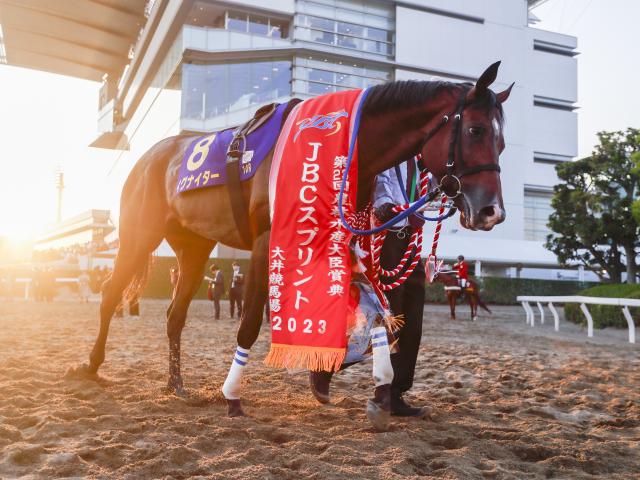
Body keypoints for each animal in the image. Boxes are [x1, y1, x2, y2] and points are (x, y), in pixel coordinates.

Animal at [77, 62, 512, 416]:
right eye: (474, 130)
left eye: (502, 142)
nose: (492, 211)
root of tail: (149, 158)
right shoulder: (264, 242)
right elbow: (251, 321)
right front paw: (232, 395)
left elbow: (367, 311)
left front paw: (362, 378)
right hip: (139, 235)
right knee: (111, 293)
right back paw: (91, 365)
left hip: (194, 248)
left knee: (174, 315)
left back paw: (175, 383)